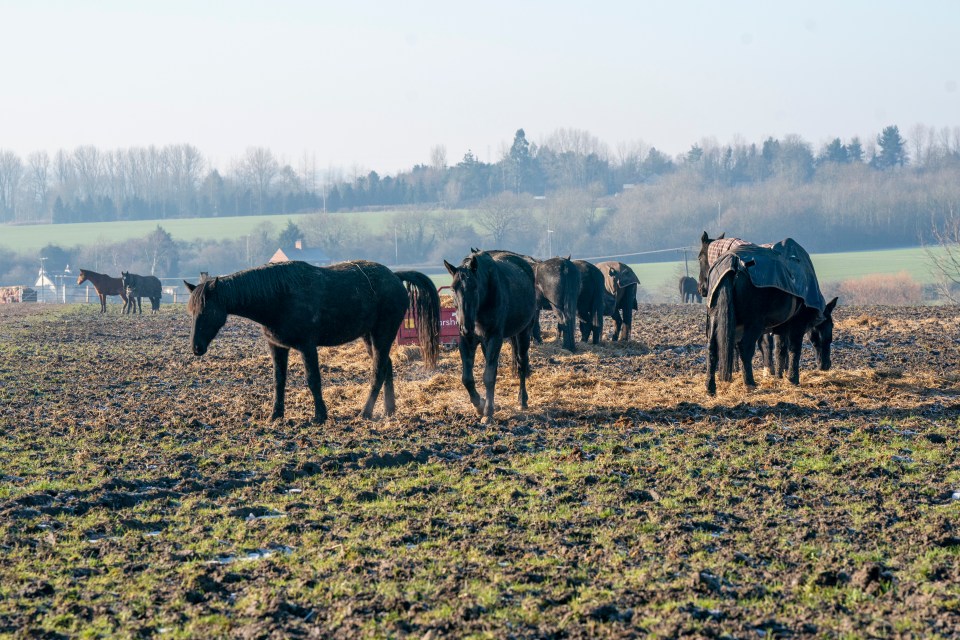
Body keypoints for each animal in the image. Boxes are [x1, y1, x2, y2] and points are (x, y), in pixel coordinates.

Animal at [183, 260, 438, 424]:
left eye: (207, 311)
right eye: (191, 311)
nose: (196, 348)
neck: (278, 297)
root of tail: (396, 276)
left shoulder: (307, 346)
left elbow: (313, 379)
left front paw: (320, 415)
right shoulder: (277, 347)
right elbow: (278, 381)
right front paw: (275, 415)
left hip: (382, 334)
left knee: (377, 371)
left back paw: (365, 412)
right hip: (370, 336)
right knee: (386, 366)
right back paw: (389, 409)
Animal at [444, 250, 536, 424]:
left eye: (474, 287)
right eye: (452, 289)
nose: (465, 327)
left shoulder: (495, 338)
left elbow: (488, 376)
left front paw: (488, 412)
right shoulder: (467, 341)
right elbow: (467, 378)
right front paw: (480, 404)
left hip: (523, 333)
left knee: (522, 364)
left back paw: (522, 400)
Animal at [696, 232, 832, 392]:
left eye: (699, 257)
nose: (826, 365)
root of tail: (734, 264)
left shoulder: (780, 327)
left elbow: (779, 350)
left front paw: (779, 375)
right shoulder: (797, 324)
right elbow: (793, 349)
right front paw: (792, 378)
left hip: (718, 320)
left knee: (712, 348)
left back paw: (710, 386)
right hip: (754, 324)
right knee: (745, 347)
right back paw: (749, 382)